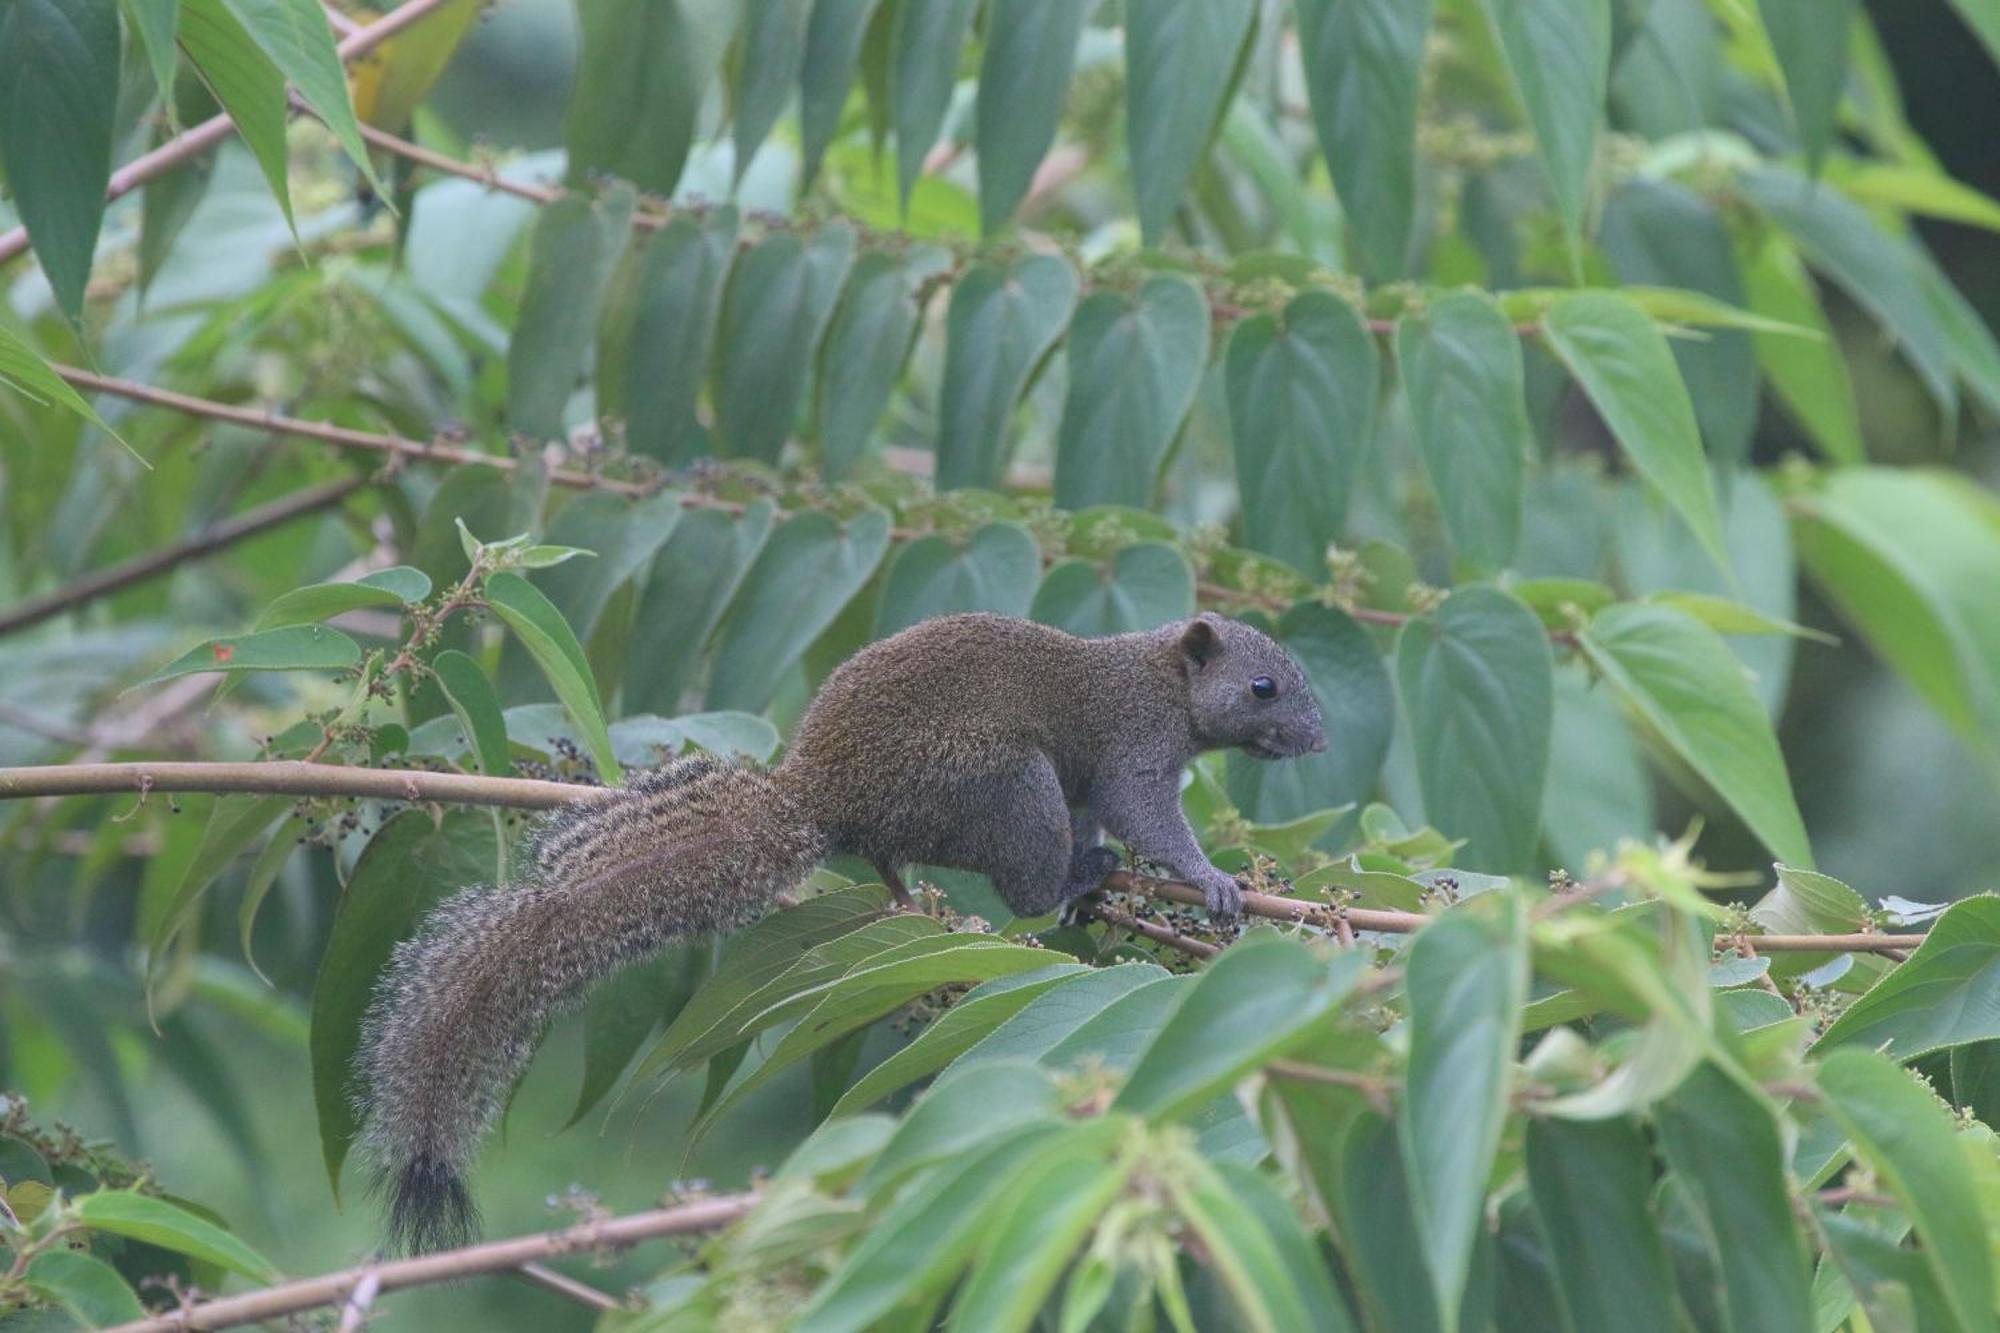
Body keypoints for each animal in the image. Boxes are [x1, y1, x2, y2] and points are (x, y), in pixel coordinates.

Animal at [360, 608, 1328, 1248]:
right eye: (1263, 685)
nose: (1318, 742)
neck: (1160, 677)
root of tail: (823, 798)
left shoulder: (1096, 777)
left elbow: (1103, 814)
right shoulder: (1134, 748)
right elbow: (1148, 820)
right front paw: (1211, 880)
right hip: (1005, 783)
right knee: (1019, 880)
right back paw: (1070, 879)